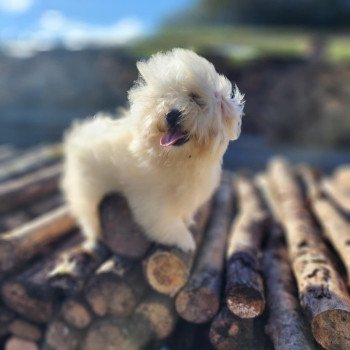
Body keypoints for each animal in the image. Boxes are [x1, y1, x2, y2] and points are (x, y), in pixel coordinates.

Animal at [60, 48, 243, 252]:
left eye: (195, 97)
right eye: (163, 97)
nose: (171, 114)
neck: (178, 159)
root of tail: (80, 130)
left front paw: (187, 222)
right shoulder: (153, 200)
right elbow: (166, 223)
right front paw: (184, 240)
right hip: (87, 186)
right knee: (88, 215)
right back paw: (94, 240)